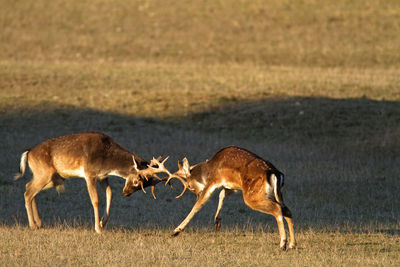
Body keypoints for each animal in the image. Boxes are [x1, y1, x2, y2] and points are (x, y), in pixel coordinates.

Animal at [14, 132, 170, 234]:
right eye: (137, 181)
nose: (126, 193)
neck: (108, 161)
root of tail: (28, 153)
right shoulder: (89, 174)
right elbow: (95, 200)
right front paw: (98, 228)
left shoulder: (102, 177)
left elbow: (110, 194)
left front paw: (102, 222)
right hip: (44, 174)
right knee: (28, 192)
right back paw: (33, 225)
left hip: (54, 177)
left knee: (29, 187)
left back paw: (39, 223)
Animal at [158, 148, 296, 250]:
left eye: (190, 187)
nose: (196, 194)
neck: (208, 169)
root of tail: (275, 173)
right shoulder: (232, 186)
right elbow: (222, 194)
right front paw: (217, 222)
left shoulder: (213, 181)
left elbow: (198, 205)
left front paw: (176, 231)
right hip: (277, 194)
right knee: (287, 210)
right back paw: (292, 244)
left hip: (252, 195)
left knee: (277, 209)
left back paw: (283, 243)